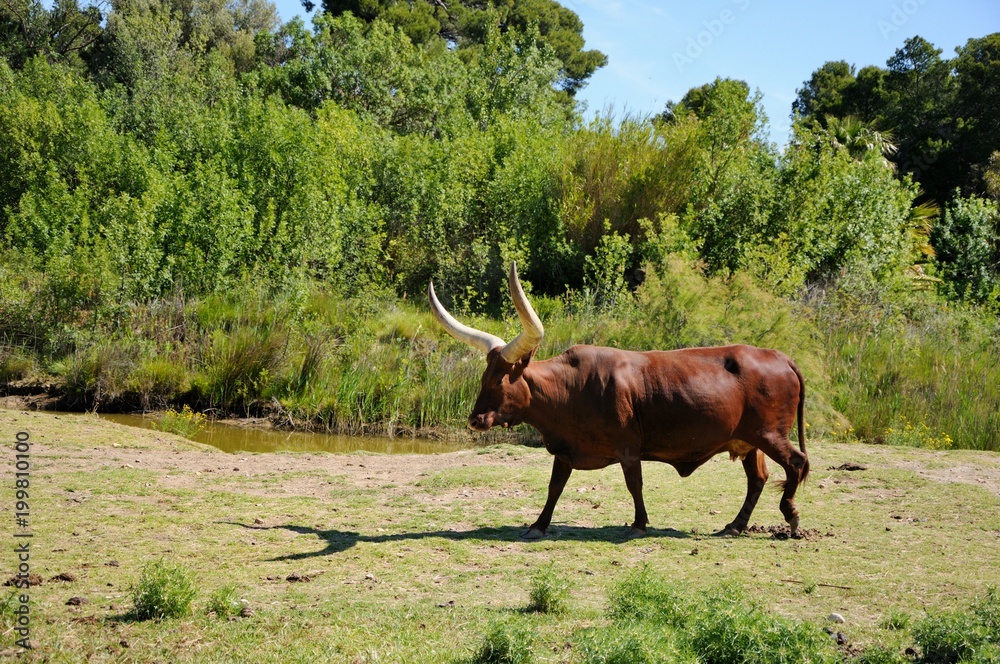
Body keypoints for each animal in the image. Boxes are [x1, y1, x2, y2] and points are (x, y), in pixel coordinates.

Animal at [428, 263, 809, 540]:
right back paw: (735, 526)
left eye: (499, 379)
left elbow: (633, 483)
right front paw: (538, 524)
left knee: (796, 463)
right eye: (483, 377)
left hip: (770, 434)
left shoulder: (628, 447)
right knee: (758, 478)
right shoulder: (565, 450)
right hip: (749, 441)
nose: (475, 419)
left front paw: (639, 523)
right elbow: (554, 488)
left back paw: (791, 518)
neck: (571, 389)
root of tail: (779, 356)